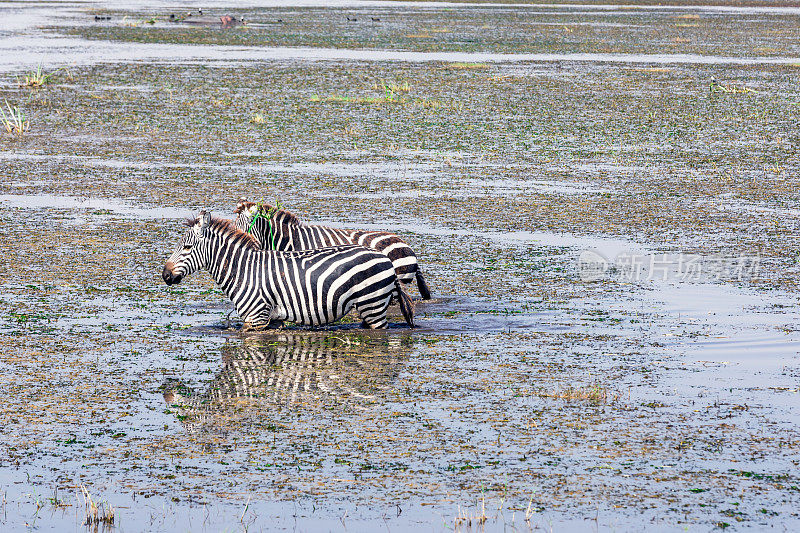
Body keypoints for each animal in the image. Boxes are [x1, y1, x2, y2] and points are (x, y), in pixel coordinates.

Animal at [160, 211, 416, 328]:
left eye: (187, 247)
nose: (165, 275)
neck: (243, 269)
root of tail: (385, 257)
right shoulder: (272, 321)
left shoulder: (256, 318)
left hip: (373, 305)